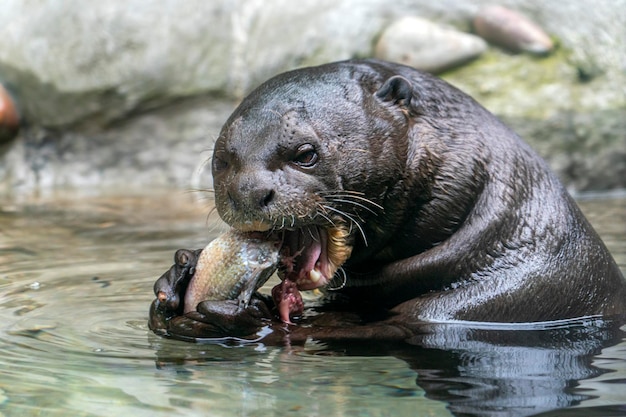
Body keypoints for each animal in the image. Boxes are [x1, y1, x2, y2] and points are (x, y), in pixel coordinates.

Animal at [147, 59, 624, 342]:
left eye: (305, 153)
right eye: (222, 160)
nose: (247, 191)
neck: (506, 240)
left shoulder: (500, 300)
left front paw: (234, 319)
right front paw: (175, 281)